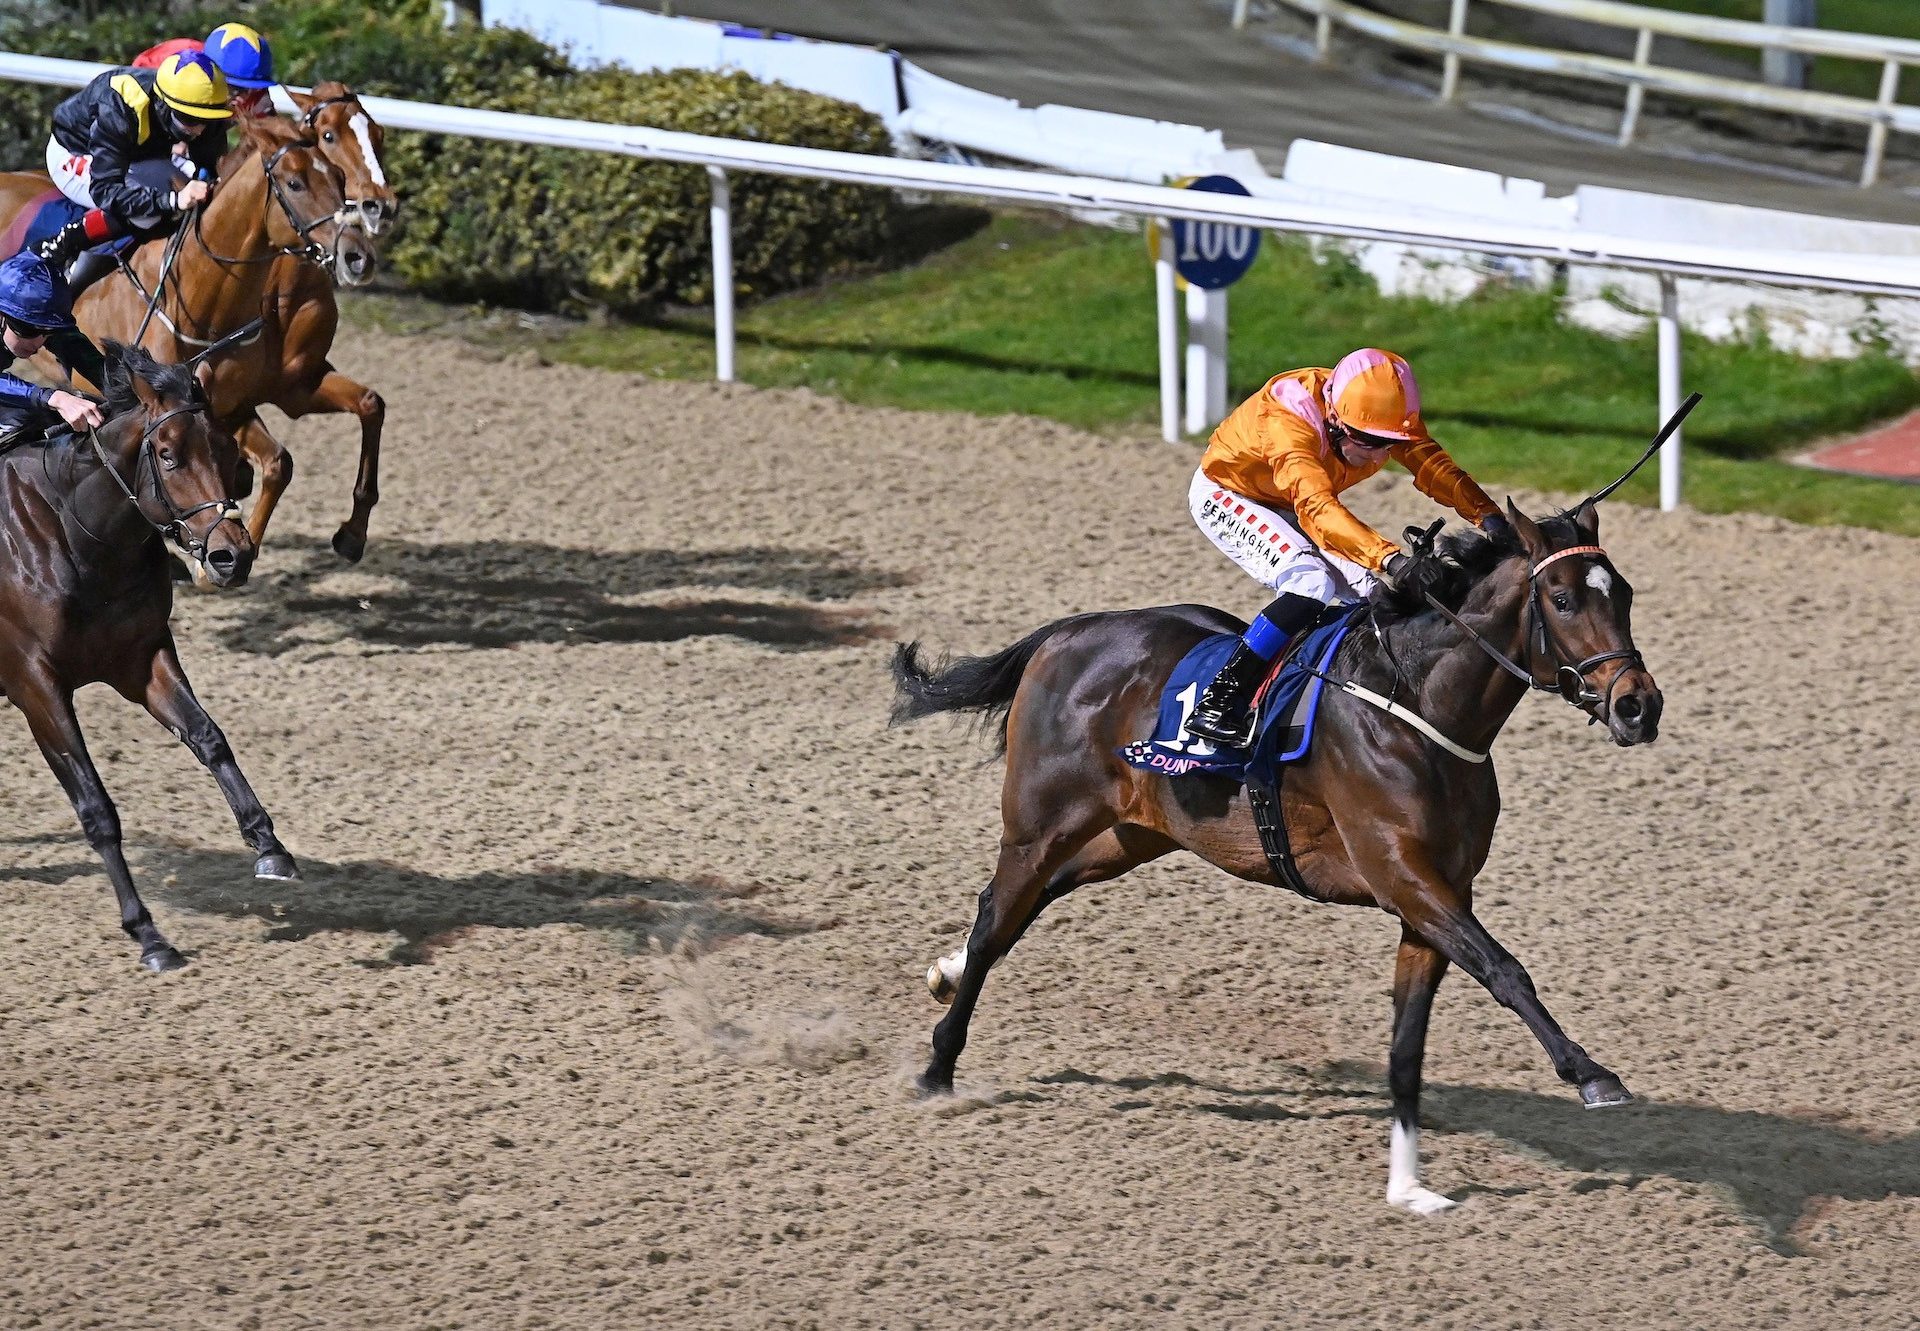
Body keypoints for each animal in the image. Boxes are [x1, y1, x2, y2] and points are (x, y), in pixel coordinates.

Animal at [0, 338, 297, 971]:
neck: (74, 536)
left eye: (227, 449)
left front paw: (269, 846)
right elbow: (96, 807)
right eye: (166, 456)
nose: (232, 557)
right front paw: (149, 934)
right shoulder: (36, 685)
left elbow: (209, 737)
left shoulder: (141, 657)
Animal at [898, 499, 1666, 1213]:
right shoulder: (1404, 877)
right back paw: (938, 1068)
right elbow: (1506, 970)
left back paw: (947, 972)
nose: (1639, 706)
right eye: (1562, 598)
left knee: (1021, 905)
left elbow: (1407, 1047)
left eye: (1625, 594)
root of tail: (1065, 633)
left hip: (1132, 832)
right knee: (999, 913)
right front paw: (1590, 1073)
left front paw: (1409, 1187)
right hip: (1041, 822)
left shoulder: (1437, 895)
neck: (1417, 704)